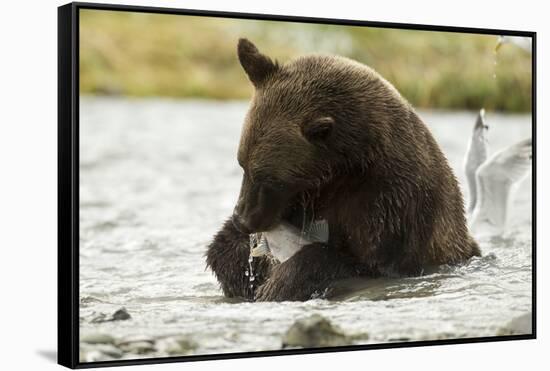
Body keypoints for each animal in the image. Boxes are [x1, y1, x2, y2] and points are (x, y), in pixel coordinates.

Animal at [205, 38, 480, 302]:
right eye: (243, 164)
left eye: (271, 179)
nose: (243, 219)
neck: (344, 169)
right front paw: (238, 259)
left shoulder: (390, 206)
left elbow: (364, 264)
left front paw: (278, 284)